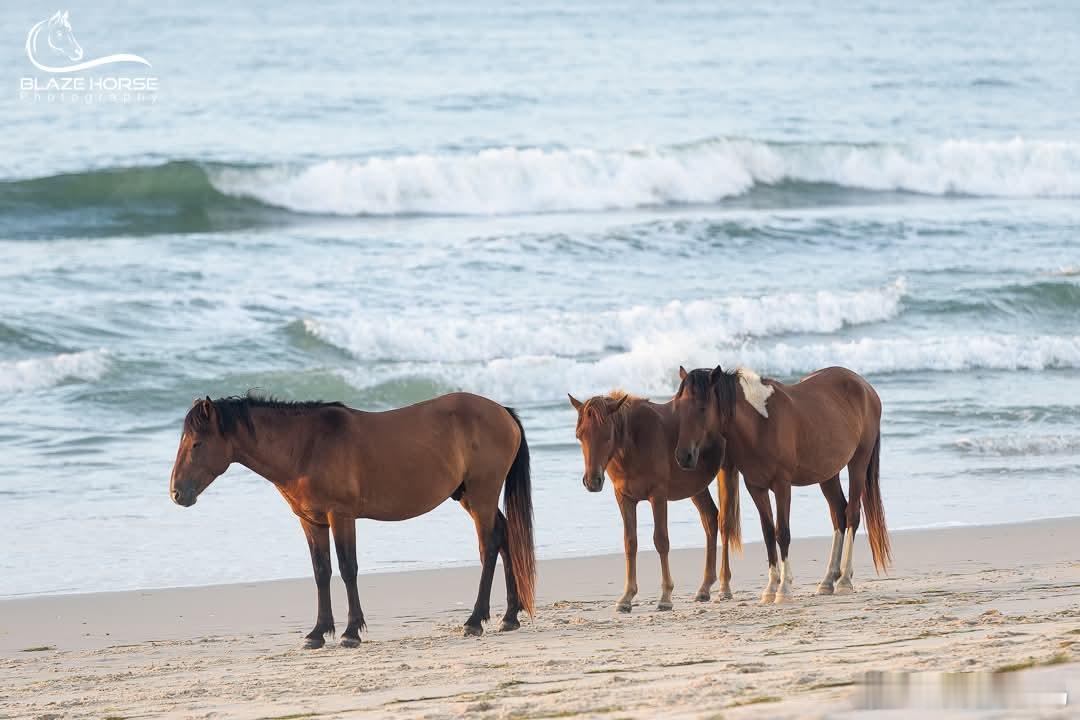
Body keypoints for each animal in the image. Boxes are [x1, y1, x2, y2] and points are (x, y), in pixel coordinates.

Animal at [169, 392, 535, 647]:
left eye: (197, 443)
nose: (177, 493)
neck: (306, 446)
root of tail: (503, 411)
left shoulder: (341, 516)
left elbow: (348, 569)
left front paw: (350, 632)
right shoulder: (312, 522)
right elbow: (321, 572)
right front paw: (317, 633)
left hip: (482, 495)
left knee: (489, 546)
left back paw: (475, 620)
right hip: (470, 498)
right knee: (505, 537)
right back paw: (509, 616)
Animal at [569, 390, 741, 612]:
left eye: (607, 435)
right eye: (579, 435)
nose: (592, 481)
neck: (634, 443)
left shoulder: (657, 496)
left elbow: (661, 541)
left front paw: (666, 596)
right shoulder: (624, 498)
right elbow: (630, 543)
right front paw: (626, 597)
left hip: (726, 472)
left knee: (724, 523)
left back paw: (724, 586)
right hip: (696, 486)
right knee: (710, 519)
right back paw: (704, 588)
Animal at [671, 365, 889, 603]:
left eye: (702, 408)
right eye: (678, 407)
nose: (683, 456)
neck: (760, 424)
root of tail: (865, 386)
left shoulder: (782, 485)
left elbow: (782, 532)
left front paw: (784, 589)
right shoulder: (756, 487)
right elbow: (768, 533)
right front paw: (770, 588)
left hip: (858, 463)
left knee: (851, 515)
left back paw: (844, 581)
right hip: (827, 474)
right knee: (838, 515)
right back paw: (827, 581)